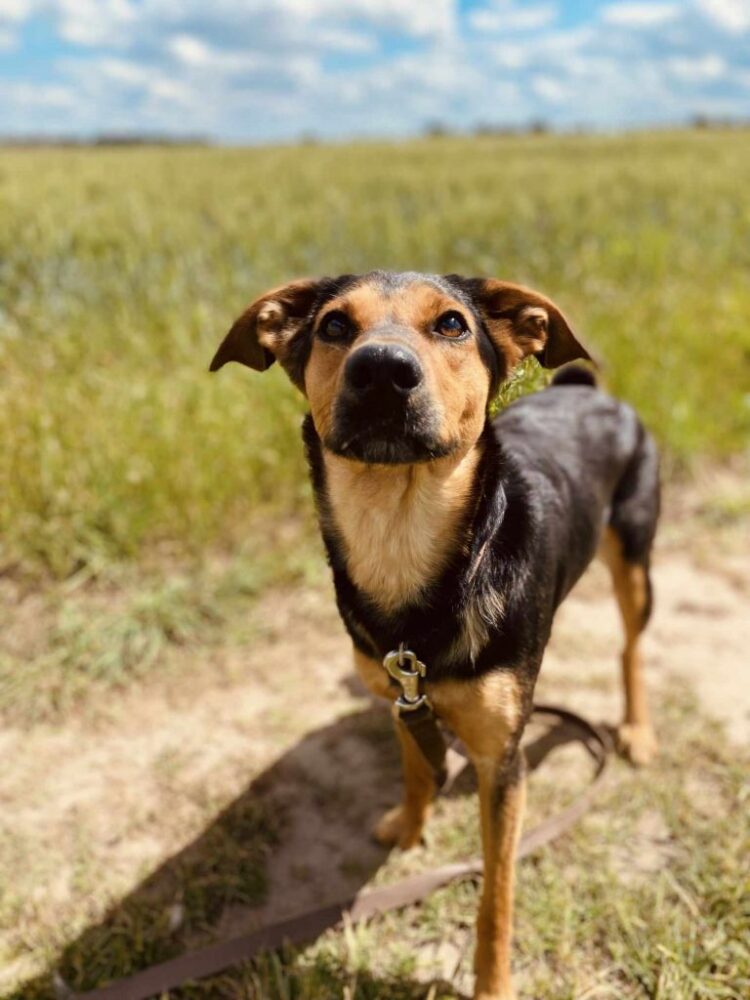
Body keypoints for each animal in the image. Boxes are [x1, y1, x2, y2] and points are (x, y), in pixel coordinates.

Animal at [210, 271, 660, 1000]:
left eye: (452, 324)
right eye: (334, 326)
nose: (382, 370)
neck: (402, 537)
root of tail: (585, 390)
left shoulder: (501, 767)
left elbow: (496, 896)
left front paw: (493, 984)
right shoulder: (402, 695)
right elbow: (416, 769)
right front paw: (408, 826)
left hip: (635, 555)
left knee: (631, 647)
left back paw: (638, 730)